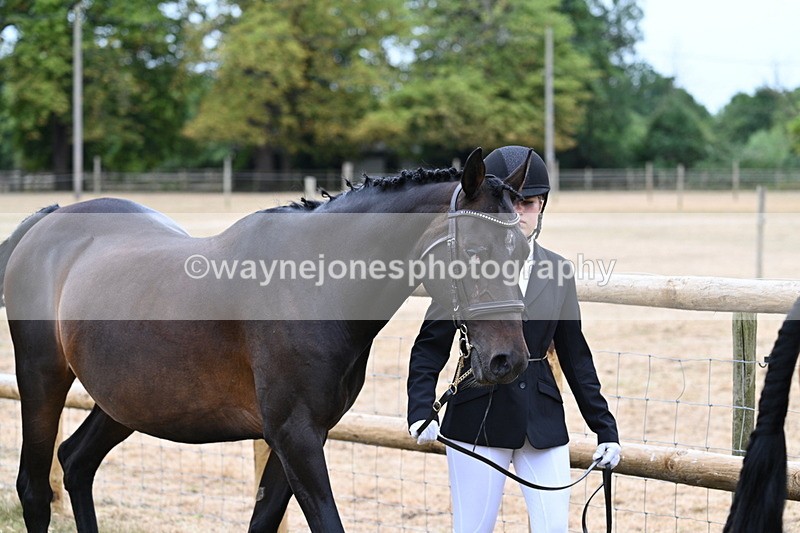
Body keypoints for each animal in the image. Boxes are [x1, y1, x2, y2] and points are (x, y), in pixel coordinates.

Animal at [0, 147, 534, 532]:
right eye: (476, 249)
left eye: (523, 250)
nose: (508, 360)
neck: (313, 286)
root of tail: (47, 222)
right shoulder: (293, 434)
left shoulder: (300, 435)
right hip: (43, 380)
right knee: (35, 487)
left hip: (128, 400)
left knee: (76, 463)